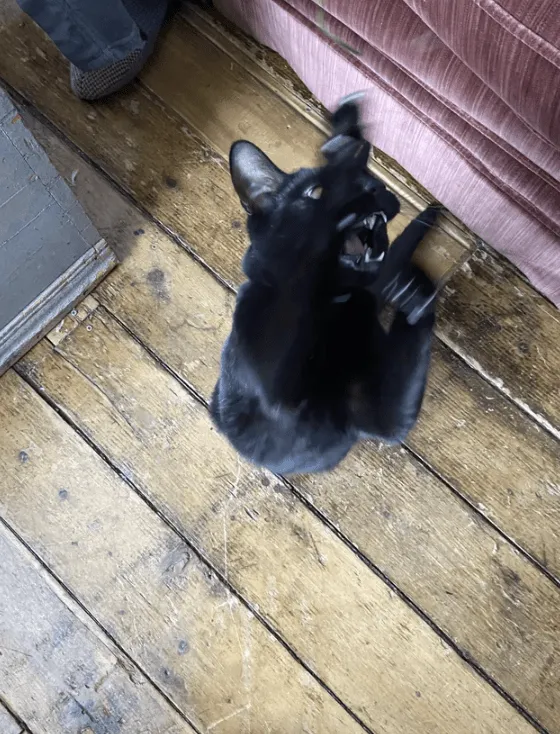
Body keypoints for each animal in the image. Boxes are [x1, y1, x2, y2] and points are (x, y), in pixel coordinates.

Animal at [210, 99, 440, 474]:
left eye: (375, 183)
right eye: (315, 192)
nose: (377, 191)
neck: (333, 303)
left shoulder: (384, 415)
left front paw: (412, 289)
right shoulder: (276, 389)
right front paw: (343, 145)